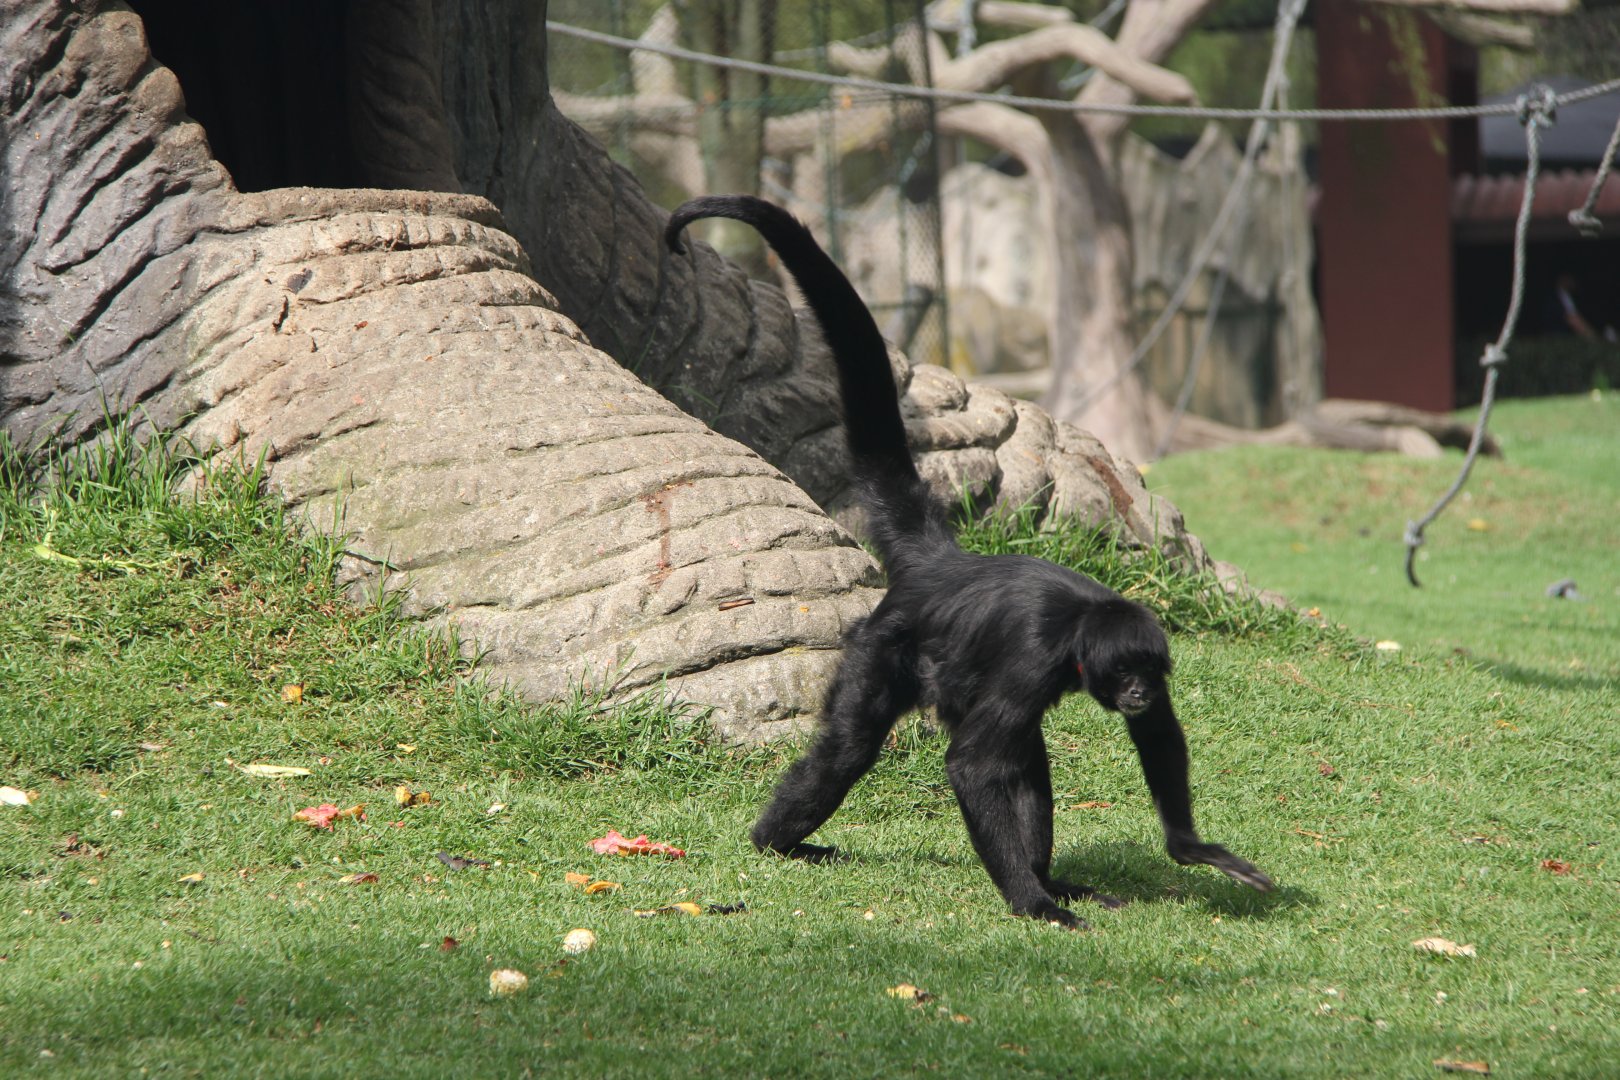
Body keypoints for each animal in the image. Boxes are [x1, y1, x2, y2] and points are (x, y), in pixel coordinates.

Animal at [665, 196, 1272, 928]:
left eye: (1149, 673)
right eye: (1125, 671)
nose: (1135, 691)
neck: (1082, 622)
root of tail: (941, 563)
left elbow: (1154, 732)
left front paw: (1191, 849)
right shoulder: (1035, 656)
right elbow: (973, 766)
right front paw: (1034, 905)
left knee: (1026, 757)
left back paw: (1054, 877)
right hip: (885, 644)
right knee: (852, 747)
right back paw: (778, 844)